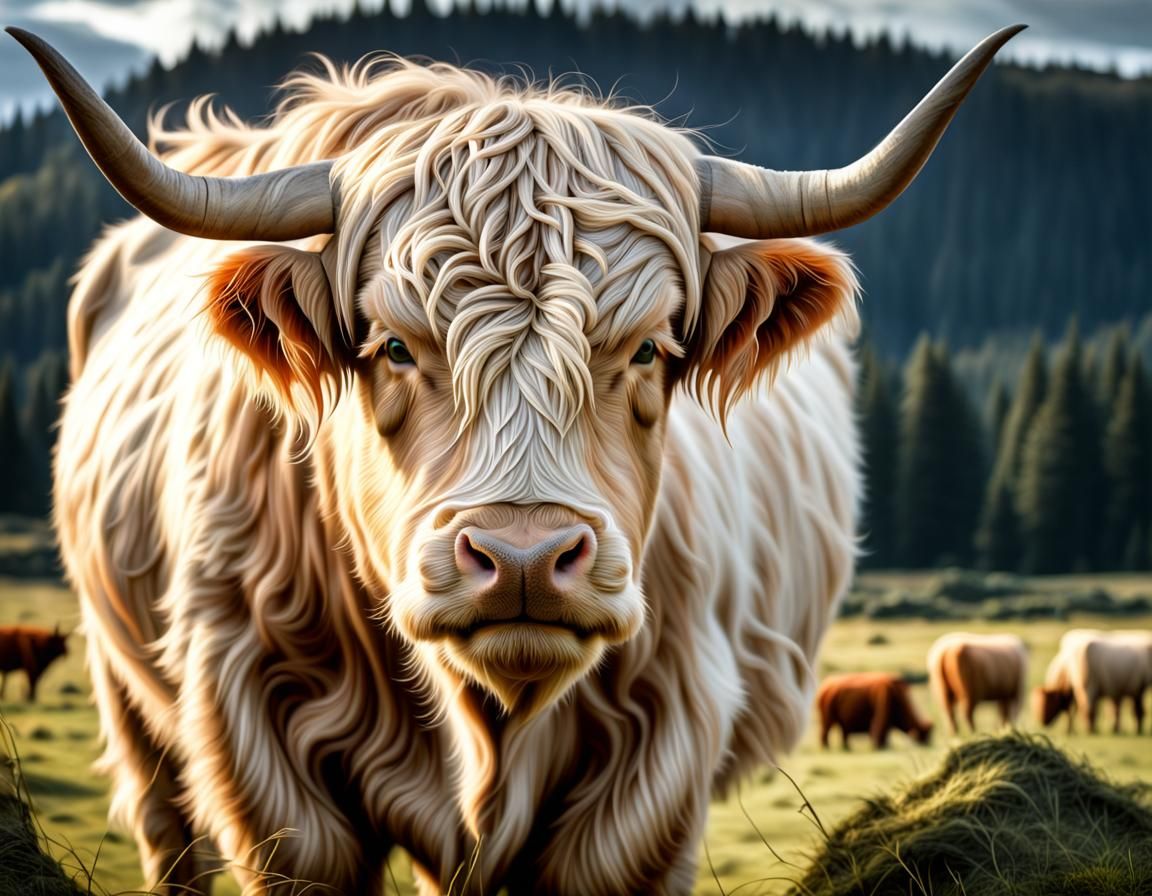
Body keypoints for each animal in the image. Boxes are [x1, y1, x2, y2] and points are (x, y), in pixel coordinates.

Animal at [10, 23, 1022, 896]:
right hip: (126, 687)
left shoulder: (652, 773)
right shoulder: (266, 751)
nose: (525, 559)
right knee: (165, 826)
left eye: (649, 349)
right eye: (391, 346)